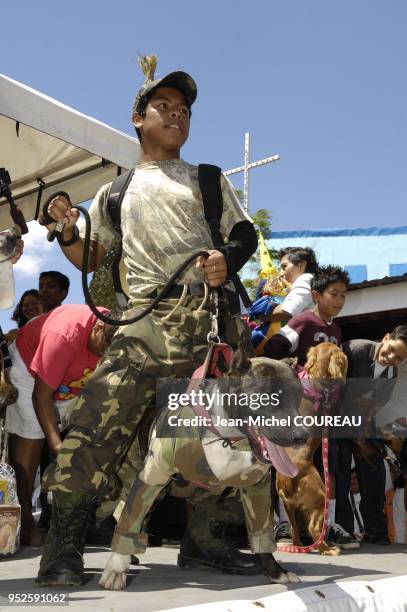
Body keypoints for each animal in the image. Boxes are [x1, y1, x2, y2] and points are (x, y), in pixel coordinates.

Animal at [278, 342, 348, 556]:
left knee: (298, 529)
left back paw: (305, 547)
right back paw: (326, 549)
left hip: (294, 505)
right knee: (311, 529)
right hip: (315, 503)